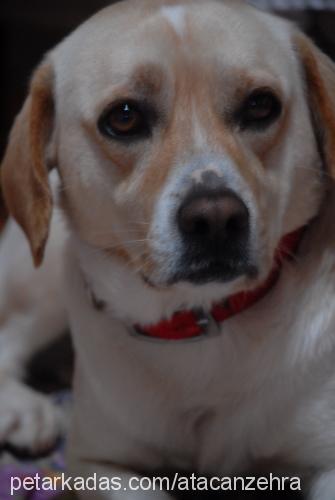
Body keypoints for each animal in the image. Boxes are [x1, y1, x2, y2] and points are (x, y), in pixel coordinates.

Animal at [0, 0, 335, 498]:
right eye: (123, 117)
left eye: (261, 105)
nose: (215, 219)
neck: (198, 322)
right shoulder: (98, 462)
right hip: (42, 284)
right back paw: (26, 411)